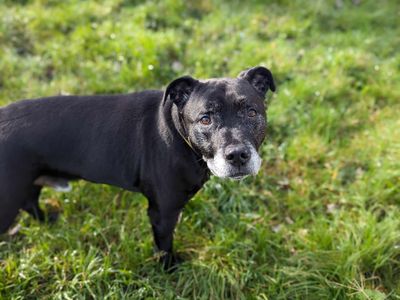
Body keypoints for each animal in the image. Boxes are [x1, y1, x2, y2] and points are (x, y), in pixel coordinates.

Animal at [0, 67, 276, 268]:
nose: (237, 155)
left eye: (251, 113)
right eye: (205, 119)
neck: (178, 132)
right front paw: (170, 270)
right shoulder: (162, 213)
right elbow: (164, 246)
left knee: (30, 201)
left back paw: (47, 221)